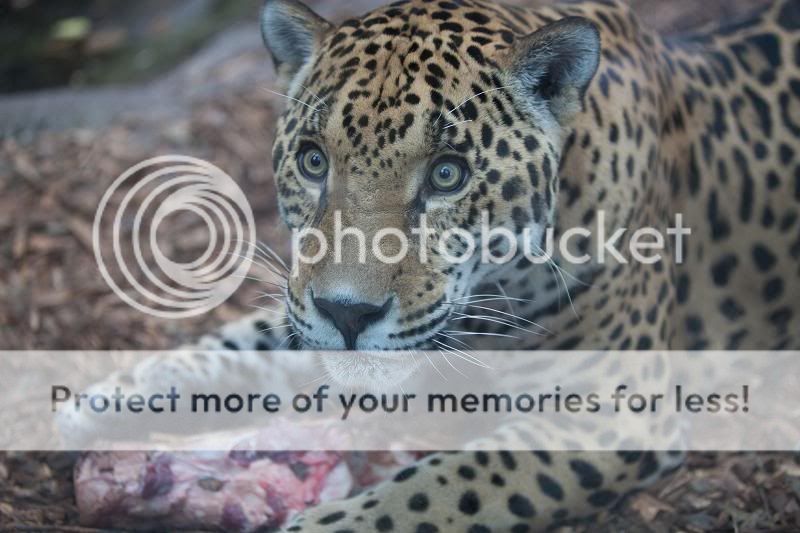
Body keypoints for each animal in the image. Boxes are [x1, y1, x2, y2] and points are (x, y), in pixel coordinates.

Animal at [57, 0, 800, 530]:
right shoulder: (304, 308)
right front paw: (92, 402)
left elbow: (440, 486)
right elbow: (227, 345)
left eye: (448, 174)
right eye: (313, 161)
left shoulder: (615, 410)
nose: (348, 314)